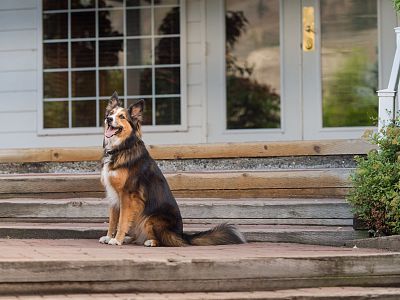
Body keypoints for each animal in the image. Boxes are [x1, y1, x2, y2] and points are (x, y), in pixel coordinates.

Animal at [98, 91, 245, 246]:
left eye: (122, 116)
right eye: (111, 113)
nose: (108, 119)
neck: (122, 147)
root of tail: (181, 235)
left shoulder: (127, 194)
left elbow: (122, 221)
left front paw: (116, 239)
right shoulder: (113, 195)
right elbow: (113, 220)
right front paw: (109, 237)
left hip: (150, 218)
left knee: (162, 240)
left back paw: (150, 241)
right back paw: (130, 238)